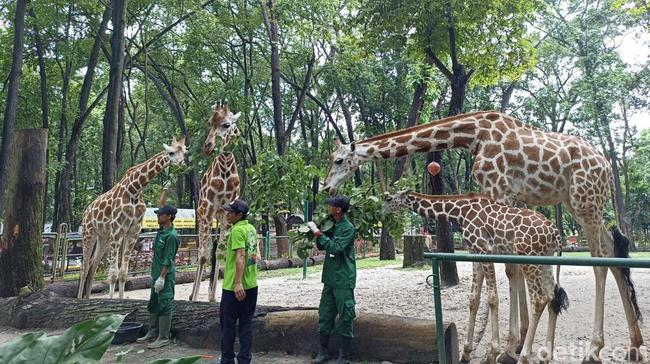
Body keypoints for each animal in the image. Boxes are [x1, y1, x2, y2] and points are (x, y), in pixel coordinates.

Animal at [77, 136, 187, 298]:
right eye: (171, 152)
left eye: (185, 153)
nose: (182, 165)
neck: (135, 189)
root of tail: (86, 212)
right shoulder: (117, 231)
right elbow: (113, 274)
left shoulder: (132, 232)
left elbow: (123, 273)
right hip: (89, 232)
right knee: (84, 268)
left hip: (103, 237)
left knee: (93, 265)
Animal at [189, 101, 242, 302]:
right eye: (209, 123)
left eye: (226, 124)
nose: (207, 146)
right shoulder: (208, 210)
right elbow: (203, 256)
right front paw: (195, 298)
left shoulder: (227, 214)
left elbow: (220, 252)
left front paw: (212, 298)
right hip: (203, 216)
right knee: (202, 252)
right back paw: (192, 294)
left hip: (217, 219)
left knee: (213, 249)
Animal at [380, 191, 568, 364]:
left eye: (388, 198)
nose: (382, 212)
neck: (460, 211)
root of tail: (554, 232)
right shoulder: (474, 252)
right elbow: (473, 299)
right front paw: (466, 353)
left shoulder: (484, 250)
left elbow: (492, 298)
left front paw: (492, 354)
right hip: (545, 260)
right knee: (552, 297)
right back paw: (546, 355)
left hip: (529, 259)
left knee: (539, 298)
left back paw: (523, 357)